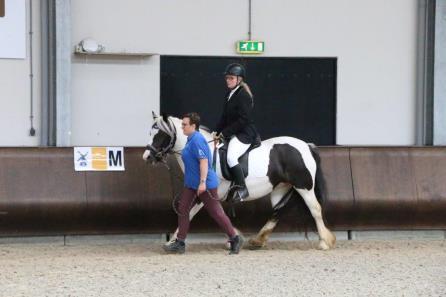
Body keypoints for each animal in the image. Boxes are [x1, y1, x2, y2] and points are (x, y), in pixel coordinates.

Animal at [143, 112, 334, 250]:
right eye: (150, 133)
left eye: (161, 134)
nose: (147, 156)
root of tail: (307, 146)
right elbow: (216, 214)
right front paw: (235, 237)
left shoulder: (206, 192)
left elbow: (192, 213)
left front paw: (173, 240)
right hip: (280, 188)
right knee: (278, 211)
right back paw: (258, 240)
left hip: (304, 187)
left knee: (315, 209)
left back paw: (324, 242)